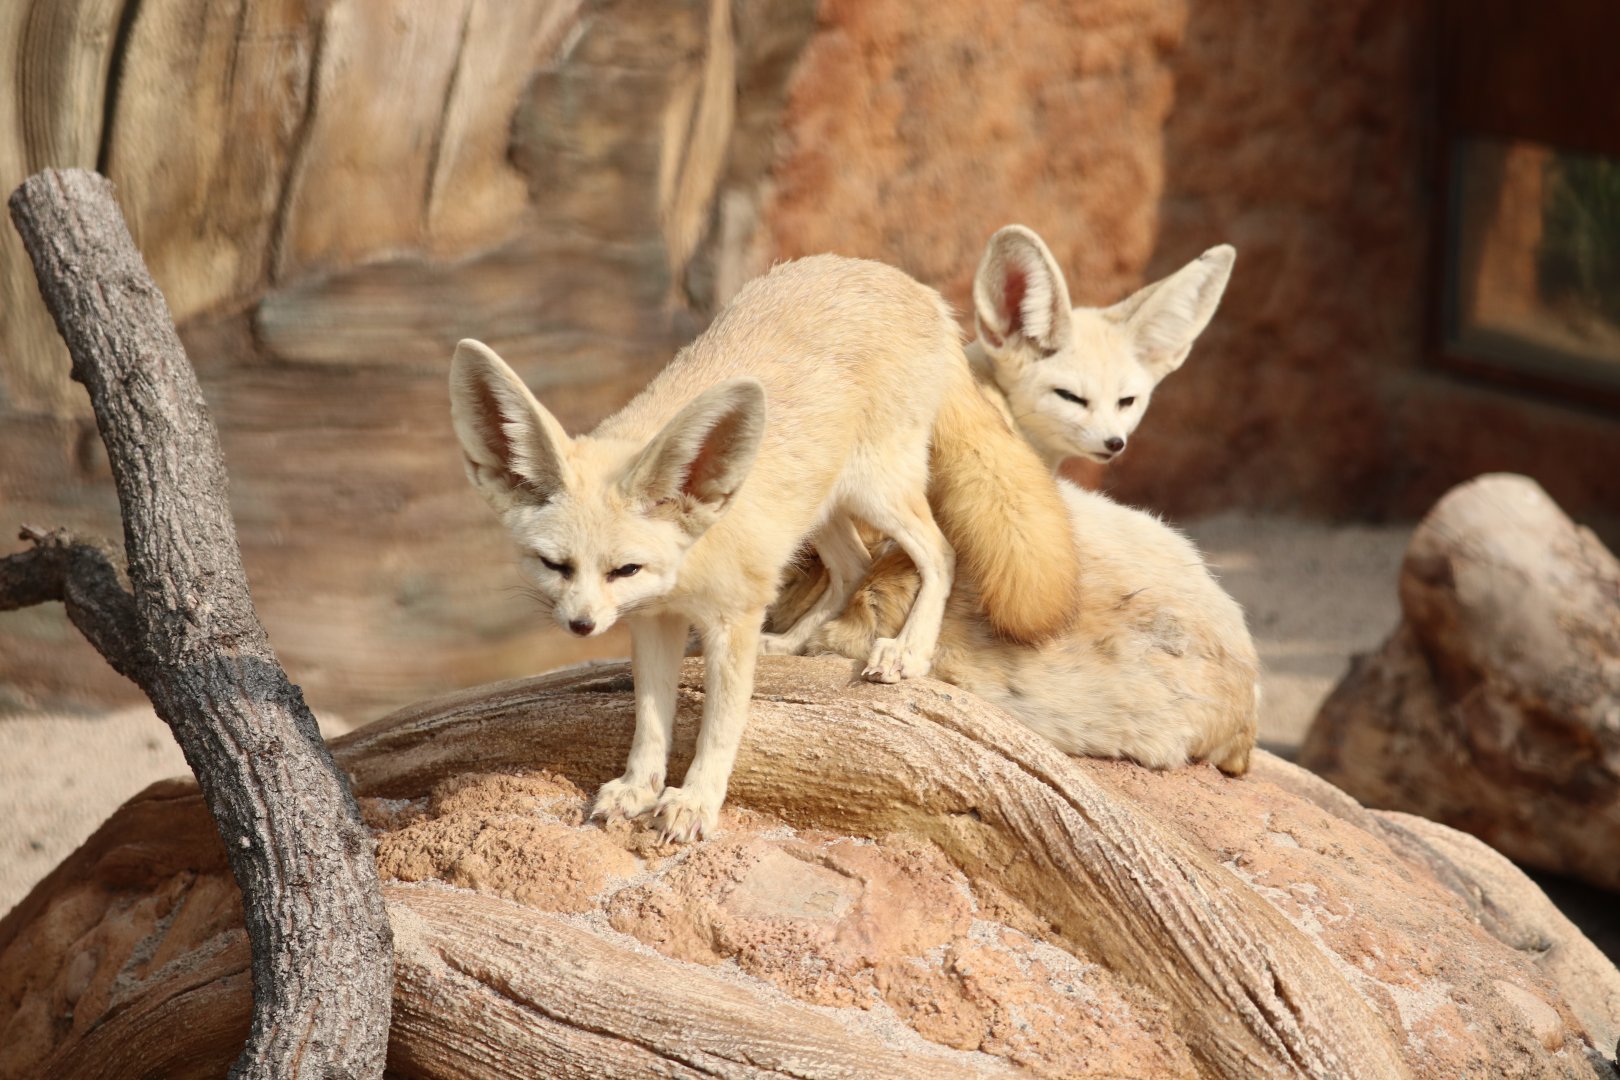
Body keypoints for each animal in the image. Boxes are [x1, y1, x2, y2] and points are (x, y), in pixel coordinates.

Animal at [450, 254, 1079, 841]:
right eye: (554, 566)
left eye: (624, 568)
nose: (580, 626)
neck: (689, 569)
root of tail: (906, 283)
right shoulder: (655, 621)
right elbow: (650, 720)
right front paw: (637, 788)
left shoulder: (734, 617)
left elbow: (720, 726)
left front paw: (695, 802)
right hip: (819, 508)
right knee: (855, 566)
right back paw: (796, 644)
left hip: (876, 493)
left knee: (940, 553)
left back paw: (907, 650)